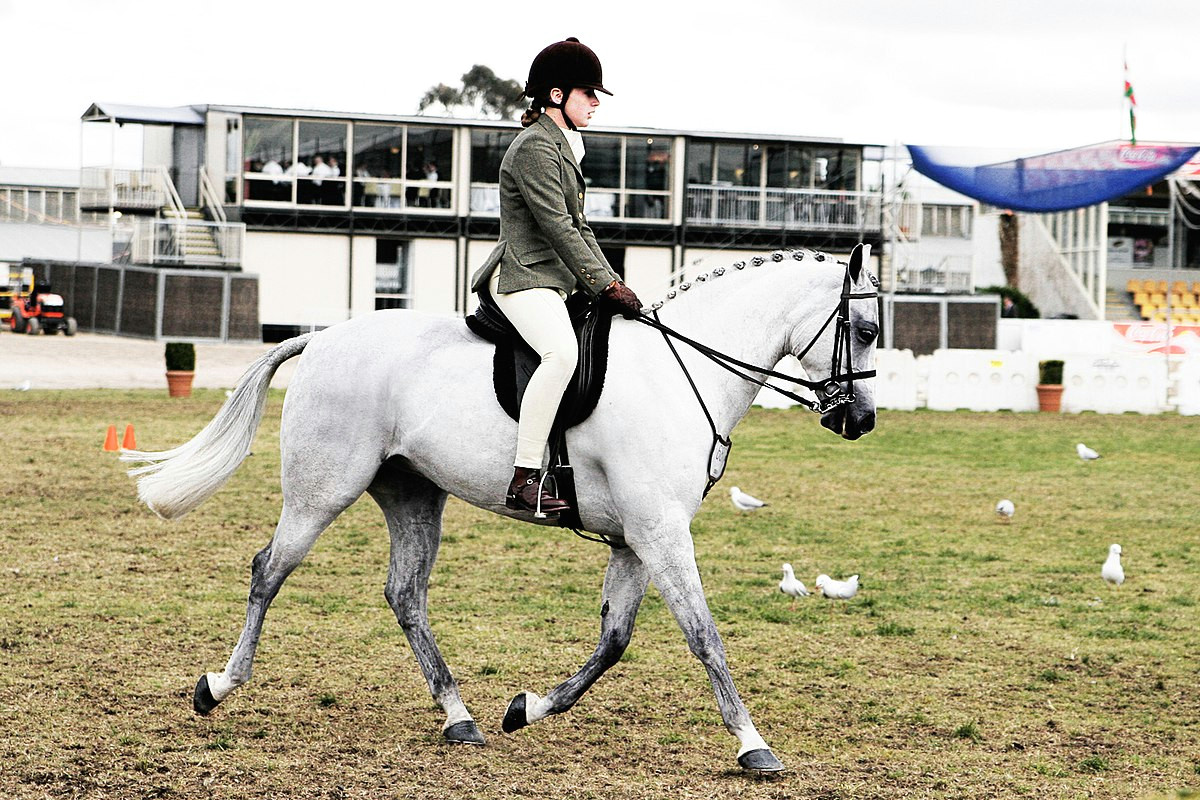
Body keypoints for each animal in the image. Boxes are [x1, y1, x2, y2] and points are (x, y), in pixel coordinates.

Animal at [124, 245, 883, 777]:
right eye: (869, 328)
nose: (862, 421)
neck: (682, 370)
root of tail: (323, 337)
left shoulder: (636, 540)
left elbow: (614, 641)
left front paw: (528, 708)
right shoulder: (662, 533)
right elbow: (705, 638)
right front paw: (754, 746)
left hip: (413, 495)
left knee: (405, 594)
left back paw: (459, 717)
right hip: (321, 492)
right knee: (268, 571)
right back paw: (218, 686)